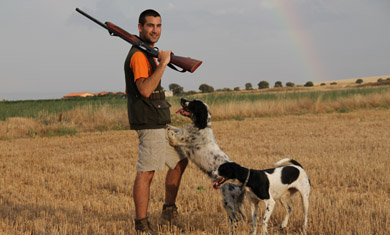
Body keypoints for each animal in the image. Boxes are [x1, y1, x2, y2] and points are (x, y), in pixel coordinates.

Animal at [166, 98, 245, 232]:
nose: (182, 99)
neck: (201, 126)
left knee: (235, 221)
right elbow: (175, 128)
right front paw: (169, 124)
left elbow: (171, 133)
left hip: (228, 203)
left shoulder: (177, 140)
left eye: (193, 103)